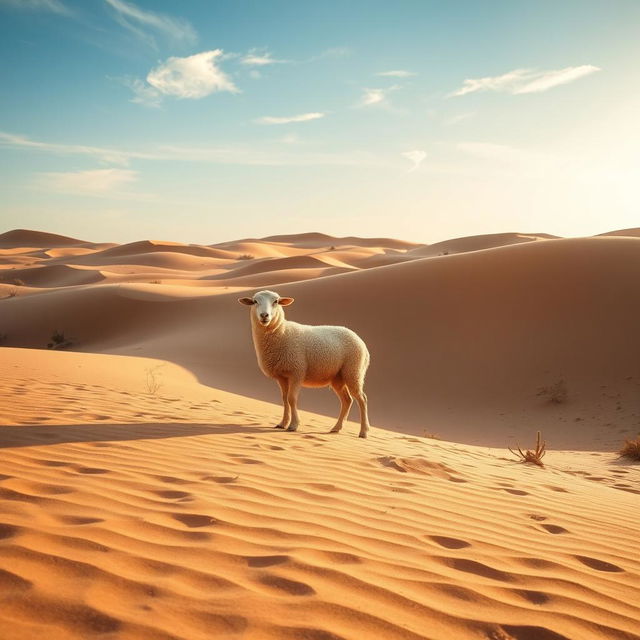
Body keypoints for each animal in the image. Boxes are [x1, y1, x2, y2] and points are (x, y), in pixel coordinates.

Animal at [239, 292, 370, 438]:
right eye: (255, 301)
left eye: (276, 301)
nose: (264, 315)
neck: (282, 332)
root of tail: (360, 340)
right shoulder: (282, 376)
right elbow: (284, 399)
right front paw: (282, 423)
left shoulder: (297, 371)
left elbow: (291, 398)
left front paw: (293, 425)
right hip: (338, 377)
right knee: (347, 400)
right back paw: (336, 428)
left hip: (354, 371)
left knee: (362, 399)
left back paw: (363, 431)